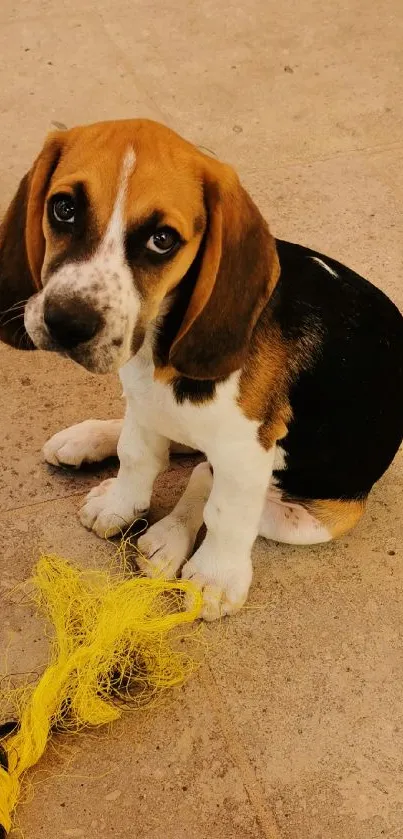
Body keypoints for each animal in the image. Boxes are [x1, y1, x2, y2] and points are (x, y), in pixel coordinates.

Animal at [0, 118, 403, 620]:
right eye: (64, 208)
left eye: (163, 240)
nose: (67, 322)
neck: (158, 347)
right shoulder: (146, 402)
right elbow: (139, 456)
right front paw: (120, 504)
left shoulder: (247, 449)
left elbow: (224, 511)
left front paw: (215, 576)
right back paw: (89, 440)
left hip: (320, 519)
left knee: (205, 475)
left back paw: (169, 539)